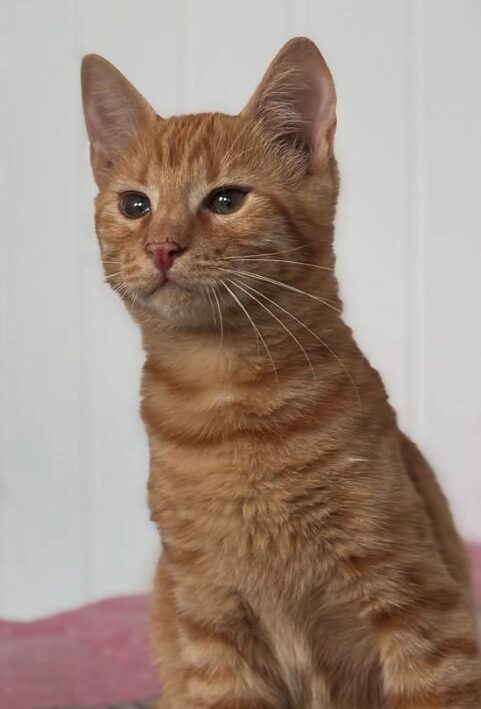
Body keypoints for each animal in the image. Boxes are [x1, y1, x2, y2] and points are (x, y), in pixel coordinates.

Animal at [81, 38, 480, 708]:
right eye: (135, 205)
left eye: (225, 200)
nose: (161, 246)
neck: (229, 403)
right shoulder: (212, 625)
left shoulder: (418, 608)